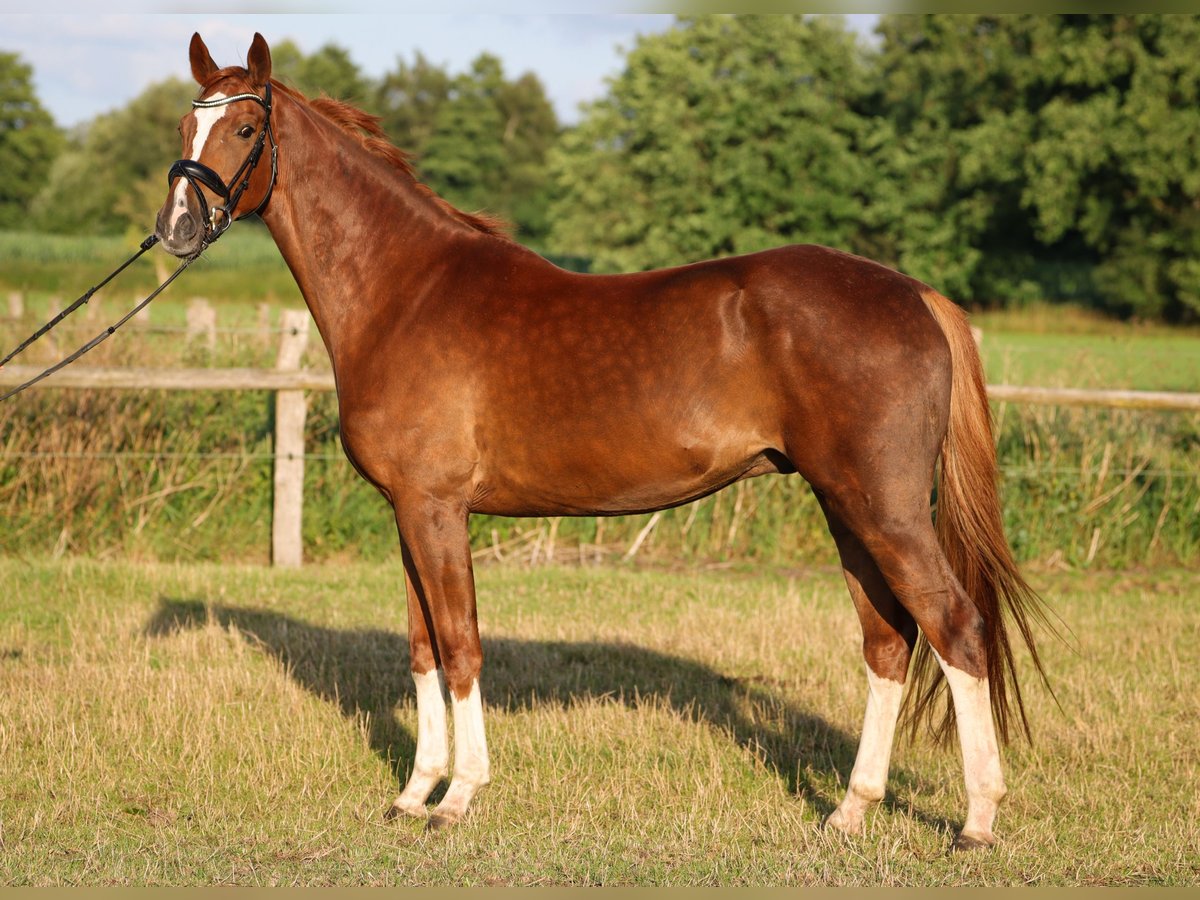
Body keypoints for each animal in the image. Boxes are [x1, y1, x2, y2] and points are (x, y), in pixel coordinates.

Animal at [157, 35, 1051, 854]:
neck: (404, 291)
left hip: (886, 510)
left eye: (245, 127)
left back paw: (976, 821)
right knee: (889, 642)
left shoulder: (437, 510)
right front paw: (413, 793)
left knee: (955, 628)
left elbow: (461, 646)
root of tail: (914, 293)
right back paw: (850, 810)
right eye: (184, 122)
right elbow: (421, 650)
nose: (176, 227)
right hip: (846, 507)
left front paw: (458, 796)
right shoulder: (408, 513)